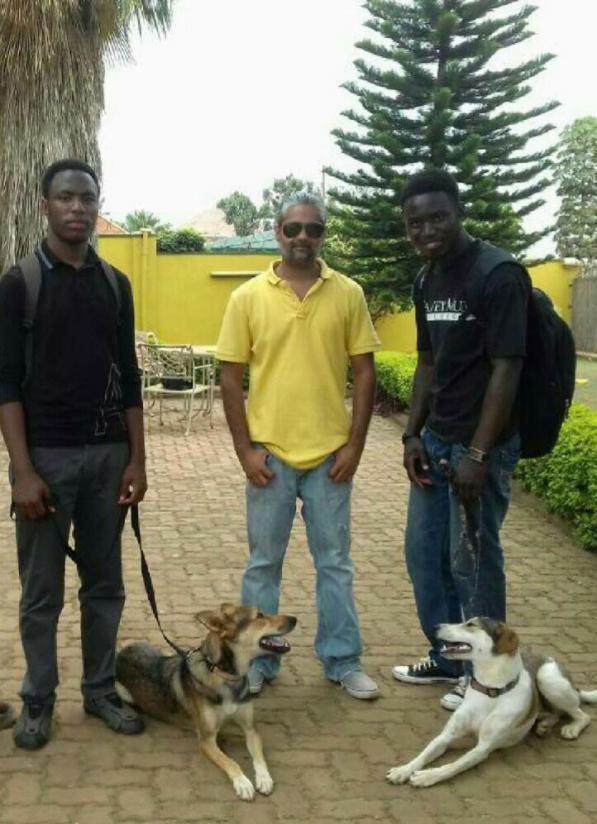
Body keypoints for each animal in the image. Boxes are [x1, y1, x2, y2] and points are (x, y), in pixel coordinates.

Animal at [386, 616, 596, 784]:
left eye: (471, 624)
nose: (435, 626)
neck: (489, 690)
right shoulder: (446, 736)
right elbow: (425, 753)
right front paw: (404, 769)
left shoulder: (483, 747)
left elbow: (453, 766)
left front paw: (428, 776)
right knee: (555, 712)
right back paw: (544, 724)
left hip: (548, 679)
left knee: (581, 714)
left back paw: (572, 728)